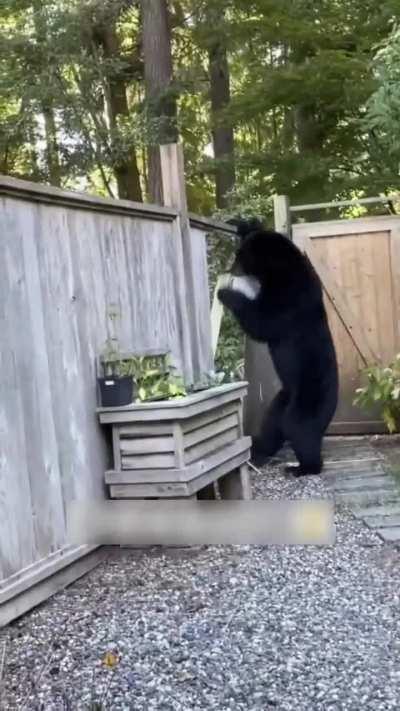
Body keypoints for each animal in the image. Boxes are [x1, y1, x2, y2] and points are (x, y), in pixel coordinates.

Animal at [217, 217, 338, 477]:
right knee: (272, 426)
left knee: (300, 429)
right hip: (281, 399)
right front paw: (241, 223)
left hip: (307, 399)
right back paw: (258, 449)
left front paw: (226, 292)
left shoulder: (290, 299)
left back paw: (303, 467)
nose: (231, 270)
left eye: (239, 257)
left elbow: (263, 321)